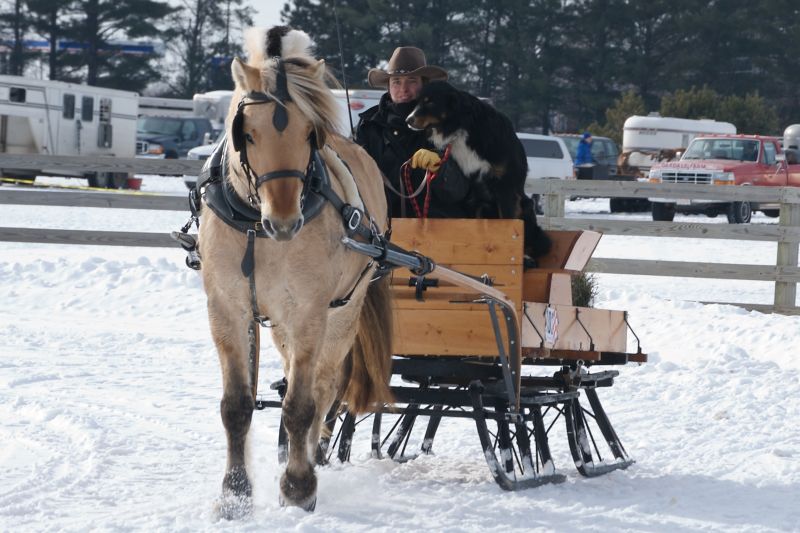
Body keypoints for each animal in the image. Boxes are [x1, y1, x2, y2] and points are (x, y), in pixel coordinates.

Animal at [195, 27, 392, 516]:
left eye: (309, 134)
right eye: (247, 133)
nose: (284, 221)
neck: (254, 226)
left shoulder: (308, 312)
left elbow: (301, 405)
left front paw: (298, 488)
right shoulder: (227, 310)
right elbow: (236, 405)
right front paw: (235, 494)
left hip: (343, 312)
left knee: (323, 389)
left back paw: (310, 458)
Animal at [406, 80, 552, 260]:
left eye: (430, 102)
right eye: (417, 101)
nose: (408, 119)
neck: (461, 127)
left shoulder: (505, 188)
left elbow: (507, 223)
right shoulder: (474, 193)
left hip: (527, 206)